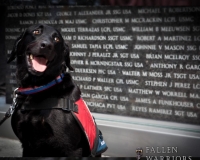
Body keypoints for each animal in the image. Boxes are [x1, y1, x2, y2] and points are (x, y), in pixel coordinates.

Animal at [6, 24, 106, 157]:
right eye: (36, 31)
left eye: (56, 39)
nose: (46, 45)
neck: (39, 87)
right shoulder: (27, 145)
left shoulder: (72, 149)